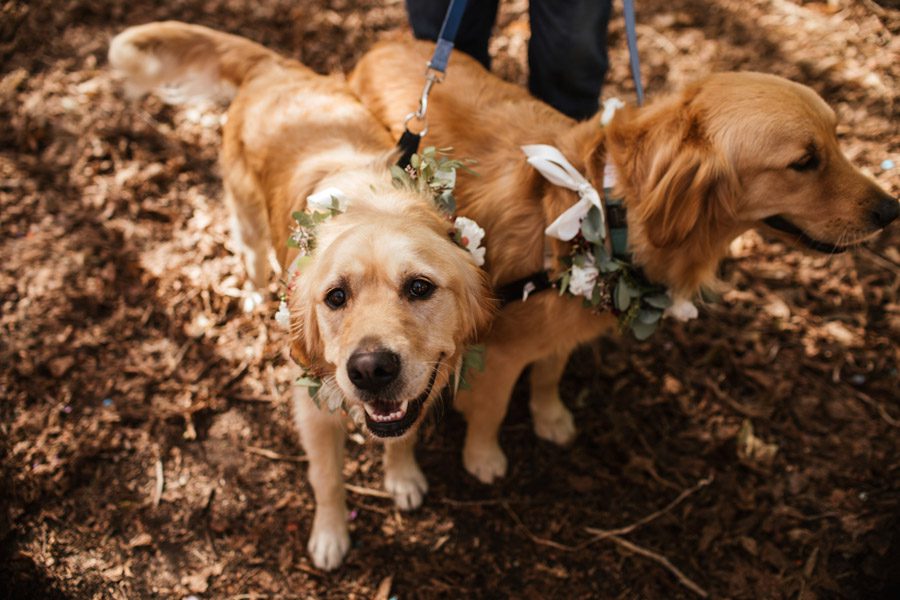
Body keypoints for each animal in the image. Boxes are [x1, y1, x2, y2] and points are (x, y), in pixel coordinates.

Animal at [110, 22, 496, 568]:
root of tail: (274, 67)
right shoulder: (311, 407)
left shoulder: (423, 386)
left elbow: (401, 438)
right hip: (245, 215)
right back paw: (252, 296)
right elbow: (326, 479)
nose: (370, 370)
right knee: (249, 254)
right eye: (335, 297)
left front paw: (401, 477)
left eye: (420, 287)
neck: (372, 202)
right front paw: (330, 536)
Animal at [348, 39, 896, 482]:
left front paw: (550, 416)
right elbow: (492, 411)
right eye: (804, 162)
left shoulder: (568, 319)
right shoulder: (503, 350)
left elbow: (550, 372)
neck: (609, 210)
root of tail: (381, 42)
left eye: (838, 139)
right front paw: (483, 457)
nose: (890, 209)